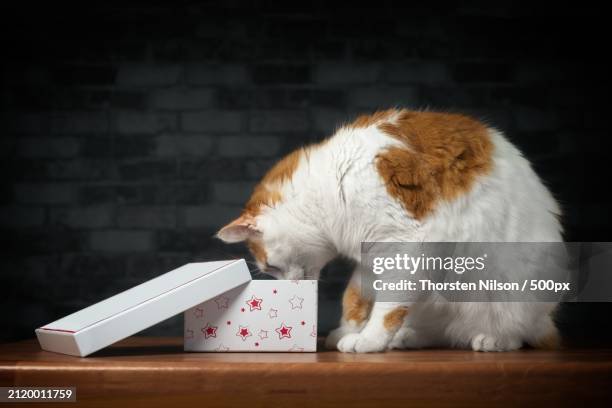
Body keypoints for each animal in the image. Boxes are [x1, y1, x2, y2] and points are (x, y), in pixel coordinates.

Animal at [218, 109, 560, 354]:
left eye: (270, 267)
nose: (290, 287)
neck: (331, 184)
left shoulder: (408, 245)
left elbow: (386, 305)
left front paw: (368, 340)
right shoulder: (371, 254)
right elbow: (355, 297)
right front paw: (348, 331)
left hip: (504, 288)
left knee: (514, 331)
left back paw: (493, 339)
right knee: (443, 332)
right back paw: (408, 337)